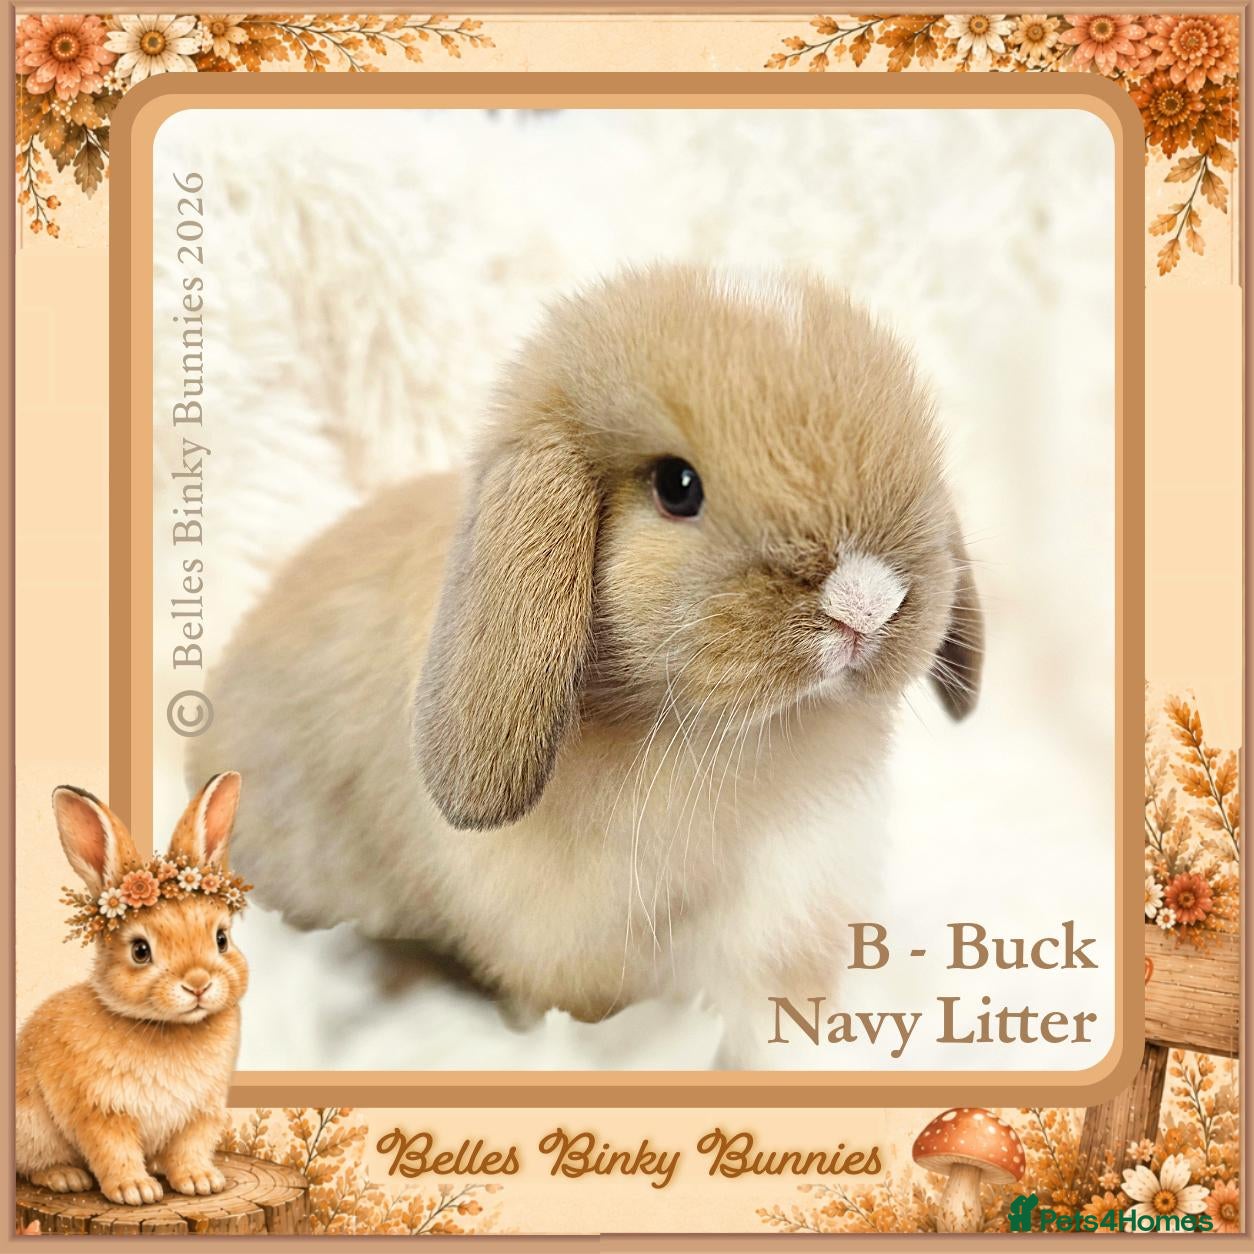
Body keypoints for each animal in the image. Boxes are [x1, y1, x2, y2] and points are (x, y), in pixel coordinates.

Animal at [16, 773, 249, 1204]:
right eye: (141, 951)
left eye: (221, 939)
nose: (198, 984)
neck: (168, 1028)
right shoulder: (101, 1111)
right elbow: (114, 1151)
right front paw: (135, 1191)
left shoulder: (200, 1113)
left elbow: (189, 1149)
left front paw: (201, 1182)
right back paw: (65, 1177)